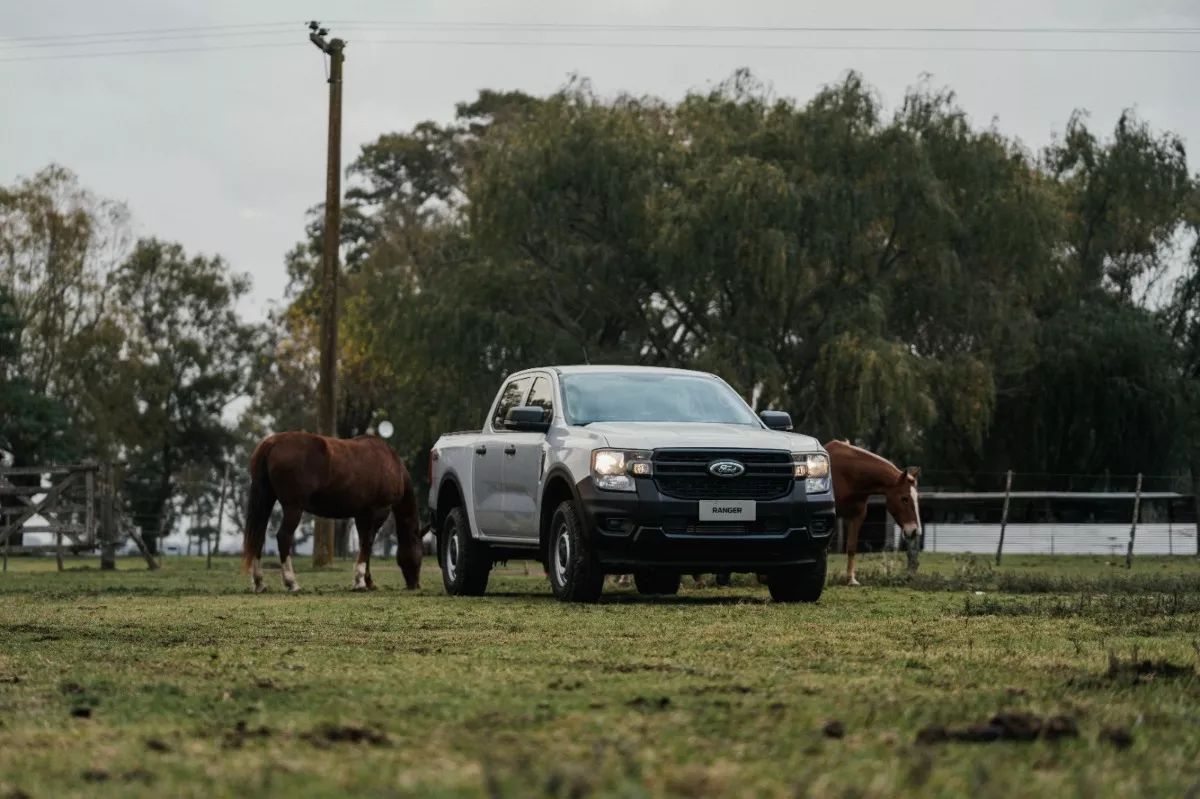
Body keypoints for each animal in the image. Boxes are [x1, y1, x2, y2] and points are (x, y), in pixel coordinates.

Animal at [237, 429, 422, 590]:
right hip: (293, 507)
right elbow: (368, 542)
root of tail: (272, 443)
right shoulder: (379, 511)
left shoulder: (362, 515)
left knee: (258, 538)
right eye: (419, 550)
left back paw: (259, 583)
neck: (391, 463)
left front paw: (366, 581)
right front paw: (360, 581)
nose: (415, 584)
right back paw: (292, 583)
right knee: (284, 537)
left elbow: (364, 544)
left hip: (266, 500)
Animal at [830, 439, 921, 583]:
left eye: (917, 497)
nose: (914, 531)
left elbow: (851, 547)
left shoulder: (857, 516)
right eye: (904, 498)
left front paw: (851, 579)